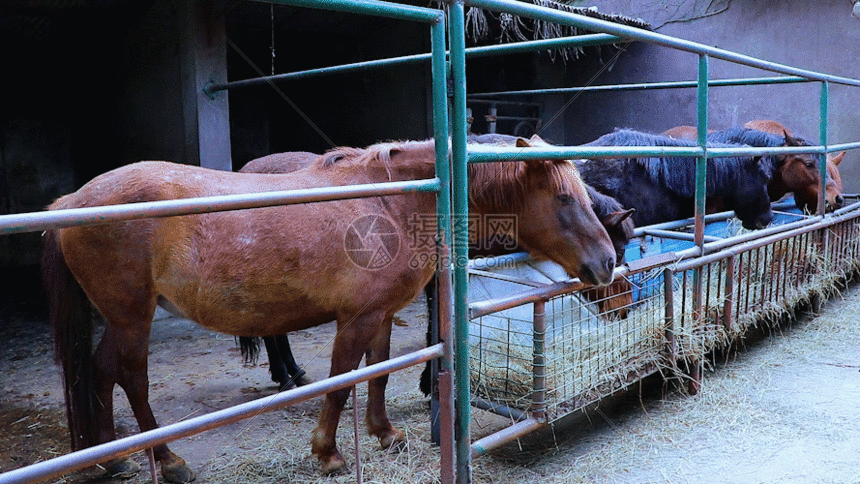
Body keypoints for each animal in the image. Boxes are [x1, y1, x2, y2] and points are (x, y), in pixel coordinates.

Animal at [43, 138, 617, 481]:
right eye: (564, 199)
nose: (608, 263)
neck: (393, 201)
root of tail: (73, 201)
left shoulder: (382, 315)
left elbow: (378, 374)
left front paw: (385, 434)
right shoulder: (356, 319)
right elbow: (341, 383)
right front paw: (329, 452)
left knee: (99, 373)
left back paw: (112, 458)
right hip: (131, 318)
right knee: (126, 377)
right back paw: (164, 458)